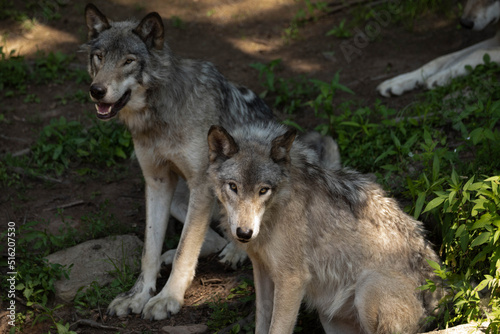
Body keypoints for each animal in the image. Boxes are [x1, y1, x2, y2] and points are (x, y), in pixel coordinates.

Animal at [83, 3, 276, 320]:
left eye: (128, 61)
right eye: (99, 57)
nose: (96, 90)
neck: (158, 117)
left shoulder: (202, 186)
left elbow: (187, 249)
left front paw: (167, 298)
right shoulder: (158, 182)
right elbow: (149, 249)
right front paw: (137, 295)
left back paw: (234, 253)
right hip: (179, 200)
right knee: (215, 238)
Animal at [207, 123, 442, 334]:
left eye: (263, 190)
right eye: (233, 187)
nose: (244, 233)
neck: (277, 207)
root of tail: (437, 296)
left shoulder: (292, 279)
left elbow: (277, 328)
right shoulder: (262, 269)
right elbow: (262, 319)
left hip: (367, 288)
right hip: (328, 315)